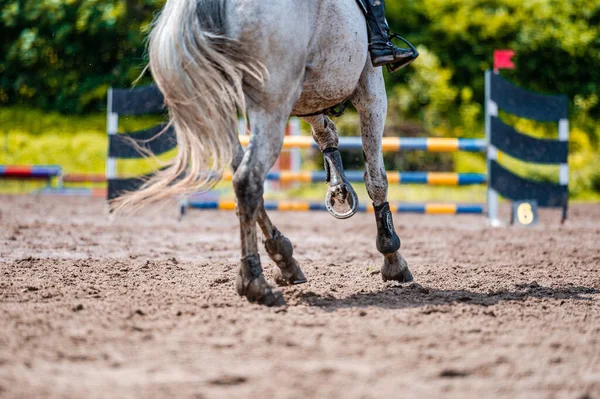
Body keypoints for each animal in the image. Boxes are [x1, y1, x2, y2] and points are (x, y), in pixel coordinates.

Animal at [119, 0, 414, 306]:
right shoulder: (369, 86)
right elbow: (376, 178)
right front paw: (392, 258)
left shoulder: (308, 93)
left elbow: (325, 131)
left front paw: (338, 185)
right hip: (271, 102)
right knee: (247, 180)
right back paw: (255, 282)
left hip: (227, 105)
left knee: (244, 178)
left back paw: (284, 258)